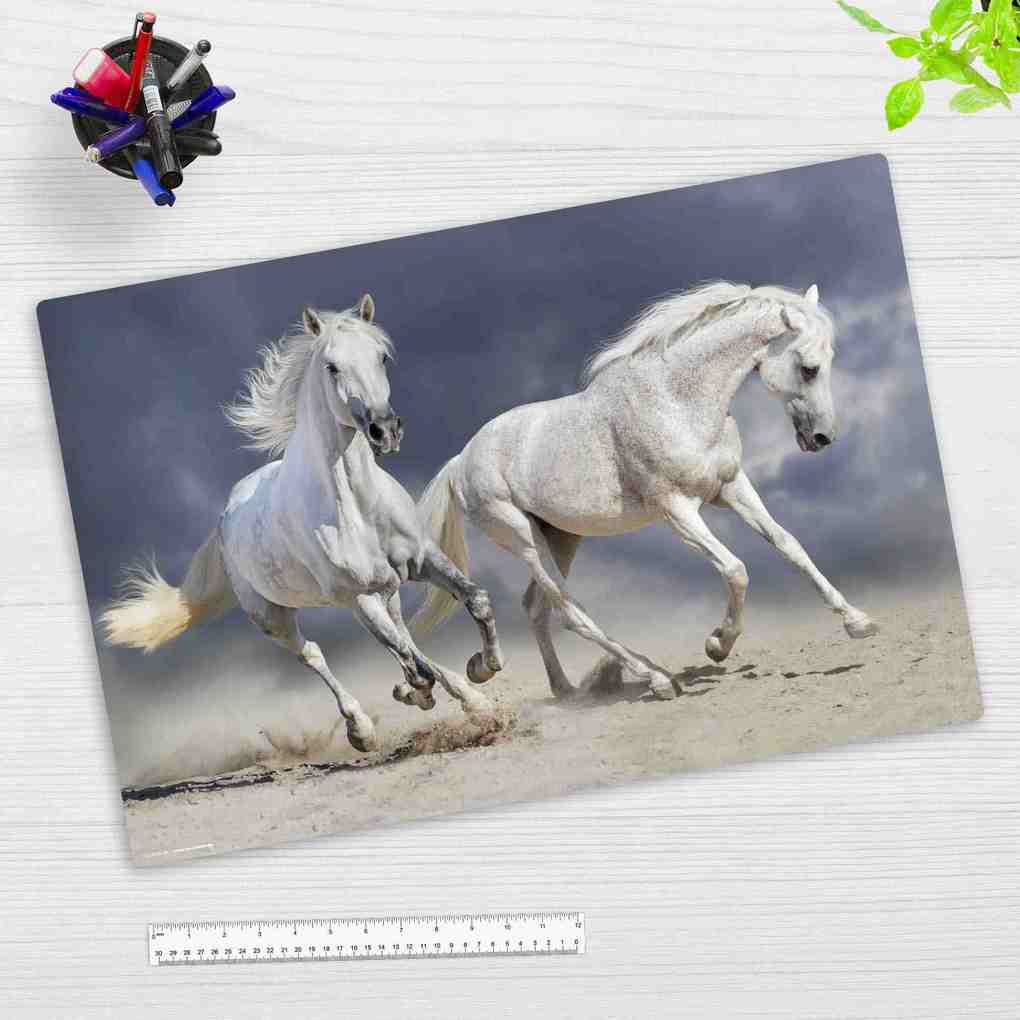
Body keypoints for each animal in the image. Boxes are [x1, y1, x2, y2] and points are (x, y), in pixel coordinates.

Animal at [101, 295, 504, 752]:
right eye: (332, 367)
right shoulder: (358, 597)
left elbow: (474, 601)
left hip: (386, 591)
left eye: (382, 357)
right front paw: (430, 693)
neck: (358, 507)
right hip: (272, 616)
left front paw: (481, 672)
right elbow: (408, 658)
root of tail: (226, 516)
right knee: (314, 653)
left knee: (403, 636)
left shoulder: (423, 560)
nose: (384, 431)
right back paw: (362, 730)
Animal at [412, 282, 878, 701]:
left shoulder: (730, 488)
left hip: (561, 538)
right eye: (809, 368)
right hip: (522, 538)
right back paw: (656, 679)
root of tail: (460, 461)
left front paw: (857, 621)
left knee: (536, 608)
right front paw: (717, 644)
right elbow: (735, 569)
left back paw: (564, 690)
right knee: (569, 612)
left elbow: (789, 545)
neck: (677, 400)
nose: (822, 438)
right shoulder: (677, 510)